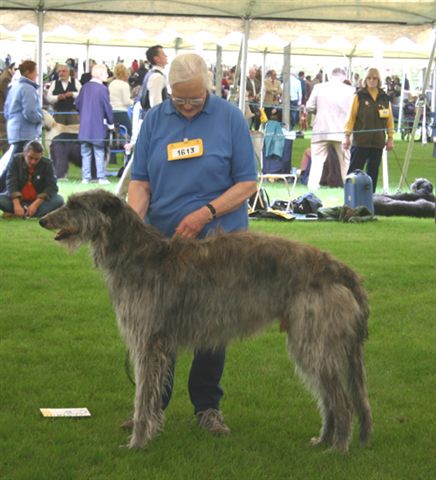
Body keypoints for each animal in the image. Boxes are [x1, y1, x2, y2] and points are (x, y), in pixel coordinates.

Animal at [39, 188, 372, 454]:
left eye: (75, 205)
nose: (42, 220)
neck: (136, 254)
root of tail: (339, 268)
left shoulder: (147, 343)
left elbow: (142, 396)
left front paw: (137, 442)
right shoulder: (157, 347)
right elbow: (151, 395)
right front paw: (147, 432)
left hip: (314, 339)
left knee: (341, 402)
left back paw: (338, 449)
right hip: (312, 342)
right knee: (328, 398)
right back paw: (324, 440)